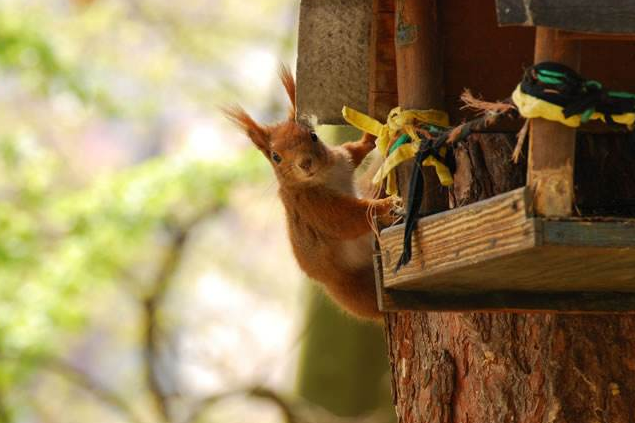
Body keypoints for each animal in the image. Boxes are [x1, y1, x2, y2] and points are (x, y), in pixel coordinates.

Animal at [222, 66, 392, 320]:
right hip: (358, 292)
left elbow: (355, 150)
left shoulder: (342, 160)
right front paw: (385, 205)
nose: (305, 163)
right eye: (276, 156)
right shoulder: (313, 208)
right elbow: (346, 220)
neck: (324, 175)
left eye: (313, 135)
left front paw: (369, 136)